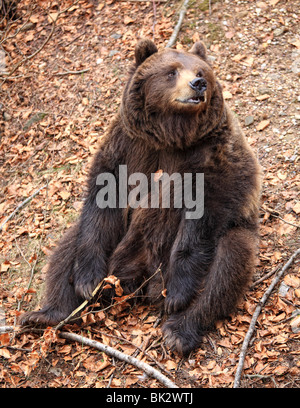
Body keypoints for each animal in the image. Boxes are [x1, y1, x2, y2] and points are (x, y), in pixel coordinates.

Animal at [19, 39, 262, 356]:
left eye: (201, 72)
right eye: (172, 71)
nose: (198, 84)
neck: (173, 134)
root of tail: (141, 282)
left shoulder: (215, 155)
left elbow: (204, 216)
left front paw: (179, 293)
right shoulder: (129, 144)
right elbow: (104, 191)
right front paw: (85, 282)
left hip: (224, 238)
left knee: (230, 260)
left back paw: (179, 330)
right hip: (115, 243)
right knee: (72, 243)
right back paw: (46, 314)